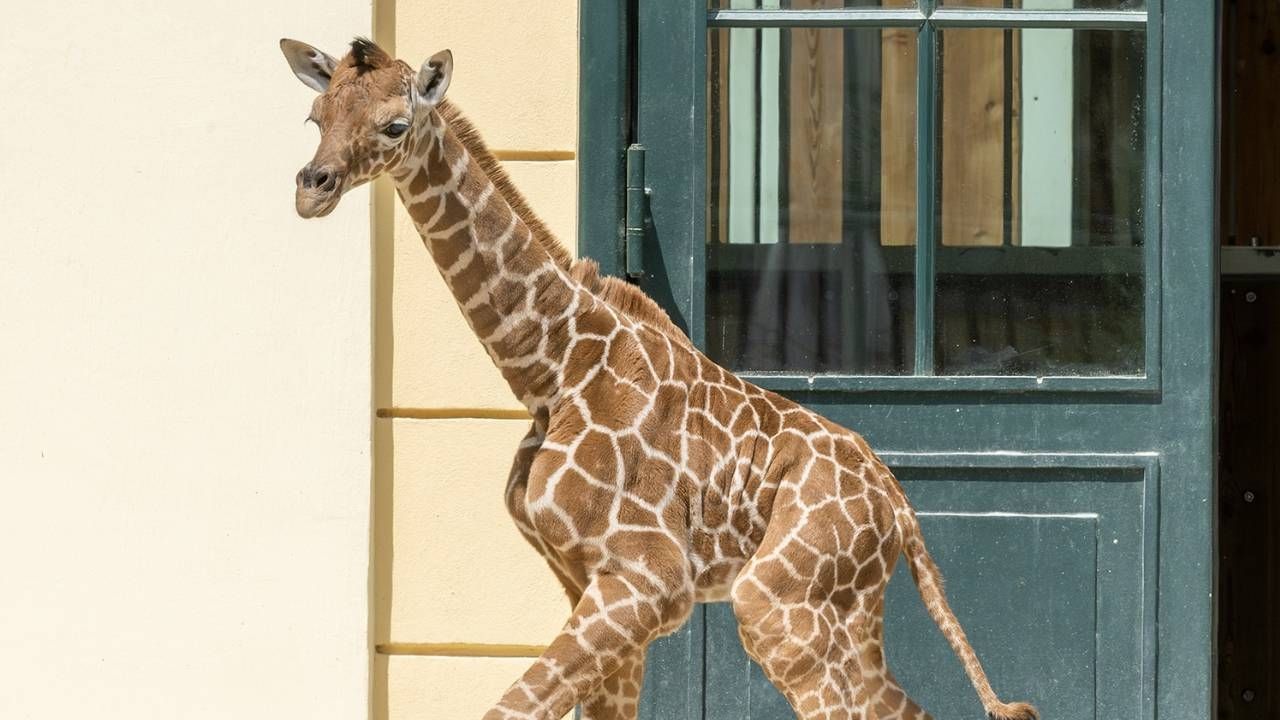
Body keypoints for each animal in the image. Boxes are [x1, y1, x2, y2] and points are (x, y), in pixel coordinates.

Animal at [280, 38, 1040, 720]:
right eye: (316, 115)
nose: (311, 189)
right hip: (845, 607)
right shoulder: (585, 579)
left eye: (395, 125)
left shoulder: (647, 580)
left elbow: (509, 709)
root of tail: (898, 506)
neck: (549, 372)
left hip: (779, 601)